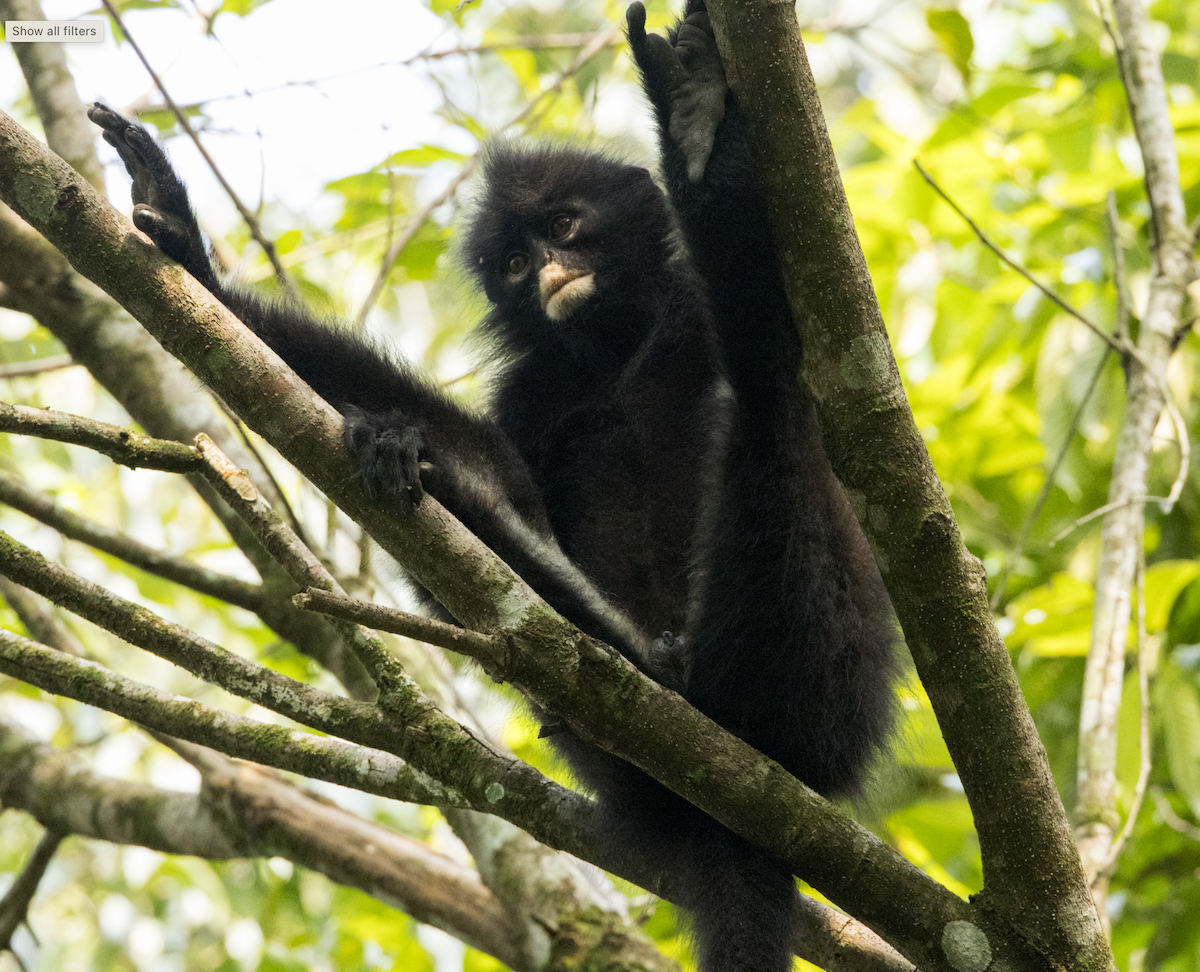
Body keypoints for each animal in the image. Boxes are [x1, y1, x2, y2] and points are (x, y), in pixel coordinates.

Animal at [88, 4, 899, 967]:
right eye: (514, 262)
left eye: (566, 227)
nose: (548, 272)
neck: (620, 347)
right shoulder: (536, 390)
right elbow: (505, 470)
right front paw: (191, 257)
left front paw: (696, 117)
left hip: (828, 671)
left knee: (769, 393)